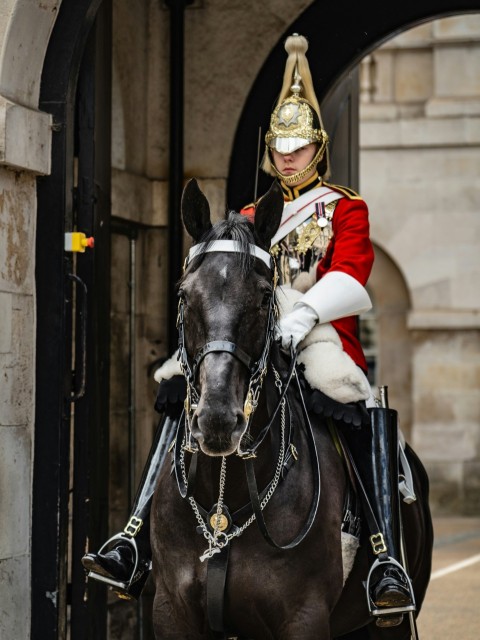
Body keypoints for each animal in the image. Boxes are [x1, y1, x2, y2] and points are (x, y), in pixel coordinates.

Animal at [152, 180, 434, 640]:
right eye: (183, 294)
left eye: (265, 297)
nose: (217, 421)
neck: (224, 502)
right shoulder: (172, 614)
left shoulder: (304, 618)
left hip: (387, 624)